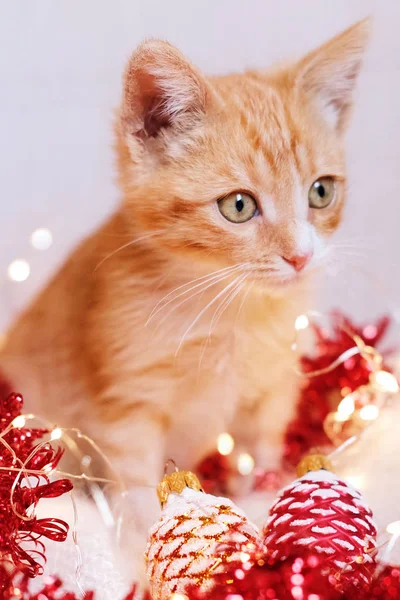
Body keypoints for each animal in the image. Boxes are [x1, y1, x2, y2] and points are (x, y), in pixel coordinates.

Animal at [0, 19, 368, 516]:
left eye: (321, 192)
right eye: (238, 206)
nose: (301, 257)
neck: (232, 311)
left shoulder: (272, 385)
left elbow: (260, 449)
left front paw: (262, 488)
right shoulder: (126, 404)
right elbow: (137, 486)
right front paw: (142, 533)